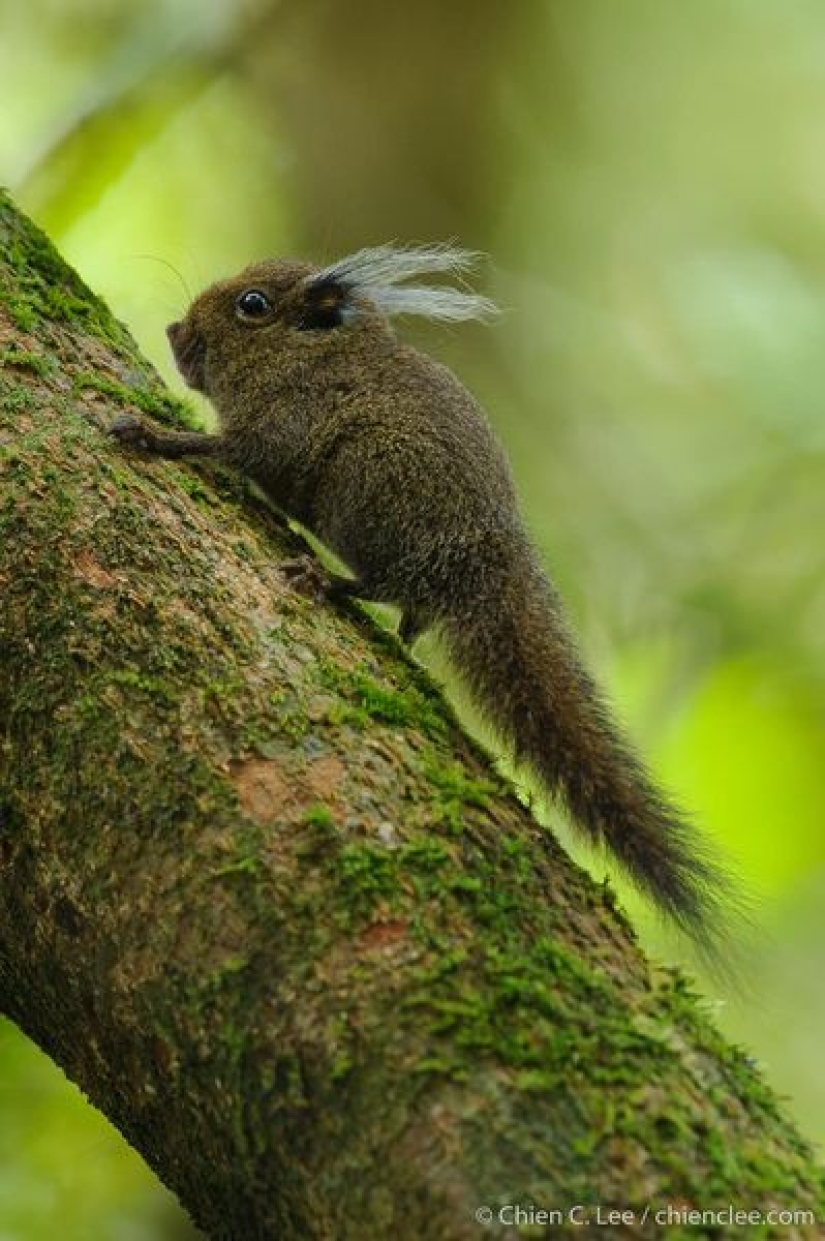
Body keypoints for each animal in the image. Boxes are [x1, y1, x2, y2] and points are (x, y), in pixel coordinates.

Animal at [109, 239, 734, 958]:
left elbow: (227, 448)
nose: (173, 332)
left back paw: (330, 580)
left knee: (394, 582)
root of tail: (489, 564)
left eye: (252, 305)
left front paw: (155, 436)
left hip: (370, 484)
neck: (312, 359)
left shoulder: (283, 424)